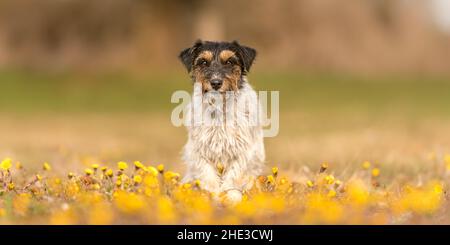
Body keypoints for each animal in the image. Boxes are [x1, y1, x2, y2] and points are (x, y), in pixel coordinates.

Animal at [178, 40, 266, 203]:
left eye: (230, 61)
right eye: (203, 62)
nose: (216, 82)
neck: (219, 108)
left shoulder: (243, 152)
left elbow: (234, 175)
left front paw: (230, 196)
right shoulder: (199, 151)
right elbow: (208, 176)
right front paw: (213, 195)